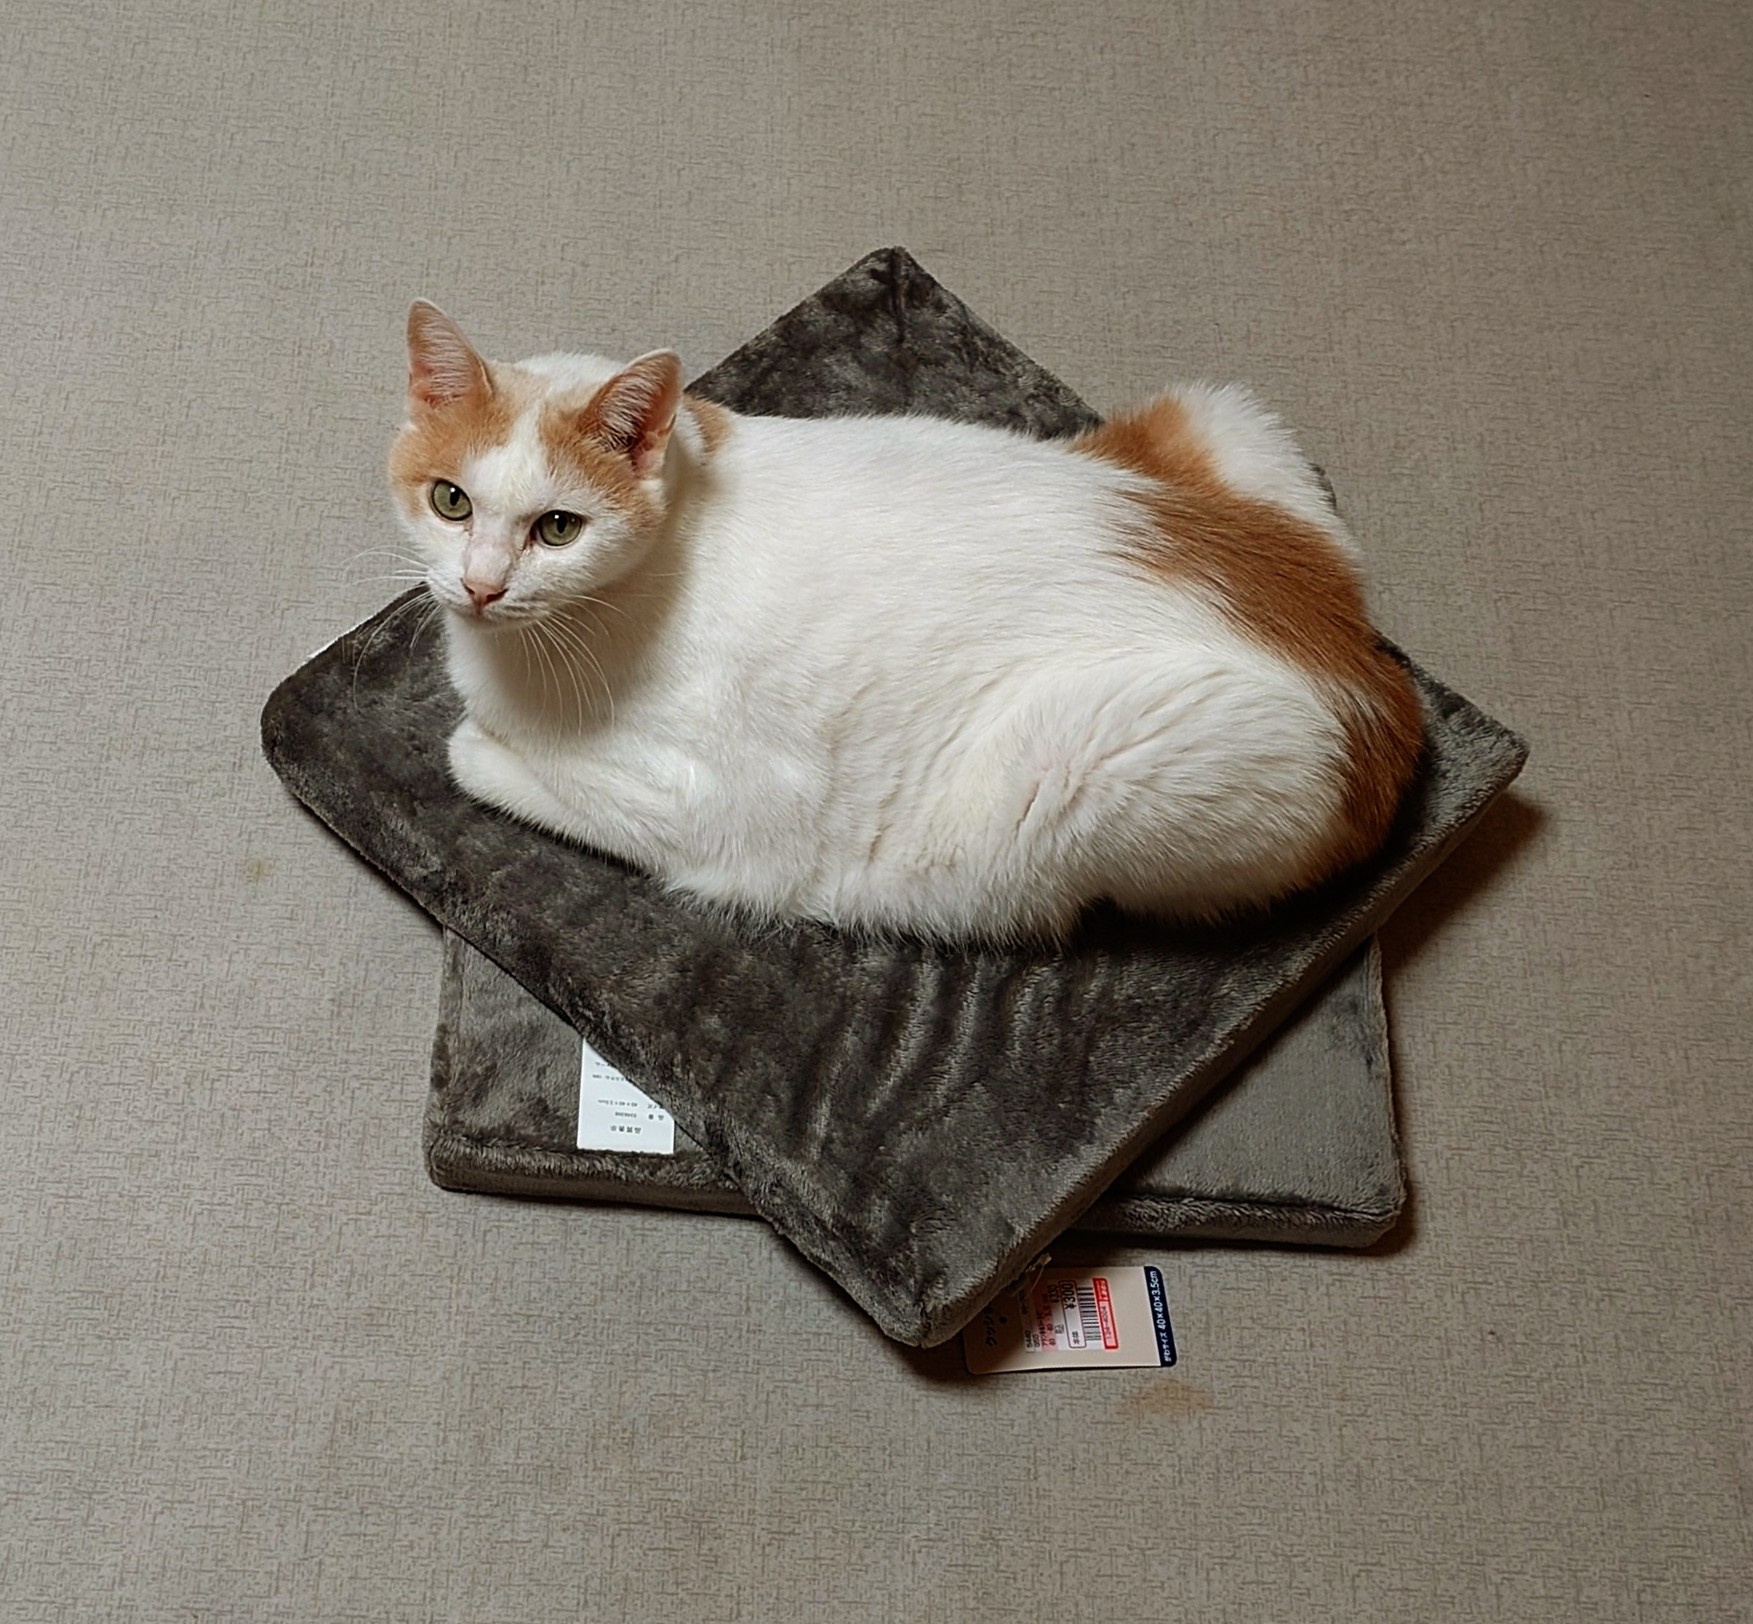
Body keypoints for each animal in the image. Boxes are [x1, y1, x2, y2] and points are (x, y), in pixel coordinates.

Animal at [388, 300, 1422, 943]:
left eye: (557, 528)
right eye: (451, 501)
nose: (479, 587)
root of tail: (1366, 671)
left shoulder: (728, 817)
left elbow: (472, 753)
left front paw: (481, 742)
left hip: (1088, 762)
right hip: (1224, 414)